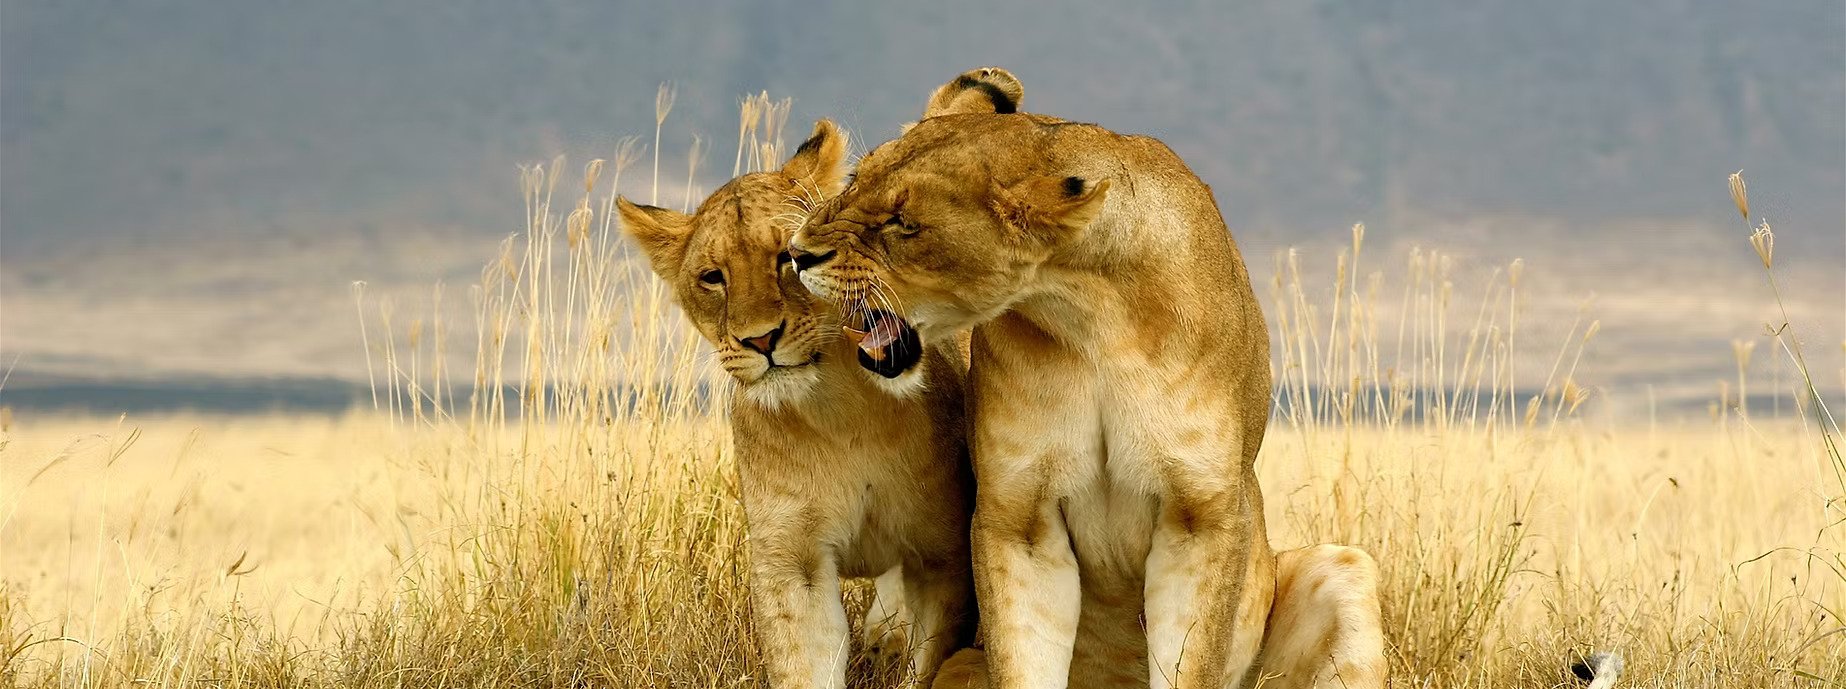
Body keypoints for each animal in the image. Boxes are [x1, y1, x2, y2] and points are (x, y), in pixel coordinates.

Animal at [616, 117, 976, 688]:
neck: (839, 412)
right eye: (712, 277)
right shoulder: (791, 561)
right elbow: (802, 662)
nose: (760, 339)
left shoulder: (941, 556)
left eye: (789, 256)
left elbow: (925, 665)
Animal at [788, 68, 1387, 689]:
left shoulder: (1201, 517)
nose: (797, 253)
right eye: (855, 178)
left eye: (902, 223)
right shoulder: (1019, 519)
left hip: (1347, 564)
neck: (1091, 318)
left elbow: (1190, 661)